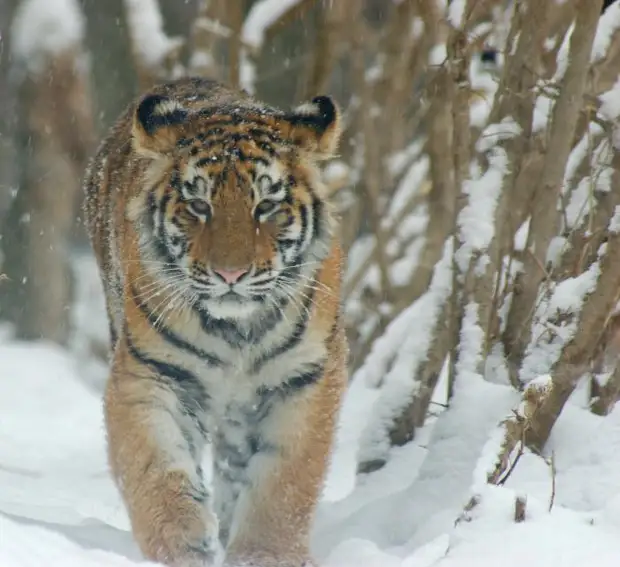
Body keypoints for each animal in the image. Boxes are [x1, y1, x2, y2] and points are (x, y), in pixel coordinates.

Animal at [81, 76, 348, 567]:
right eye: (198, 205)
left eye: (266, 206)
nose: (230, 274)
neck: (237, 331)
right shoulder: (151, 373)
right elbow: (155, 467)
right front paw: (184, 545)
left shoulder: (304, 378)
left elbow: (285, 483)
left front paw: (264, 555)